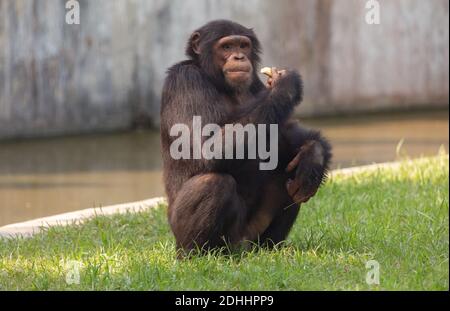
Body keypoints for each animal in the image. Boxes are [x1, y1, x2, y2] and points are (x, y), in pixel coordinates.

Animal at [159, 19, 330, 255]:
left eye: (243, 45)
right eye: (227, 47)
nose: (239, 57)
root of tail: (243, 247)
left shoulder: (256, 85)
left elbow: (288, 132)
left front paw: (314, 156)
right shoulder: (185, 81)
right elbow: (205, 147)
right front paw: (285, 85)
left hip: (255, 236)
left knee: (289, 168)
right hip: (197, 238)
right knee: (213, 183)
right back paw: (197, 255)